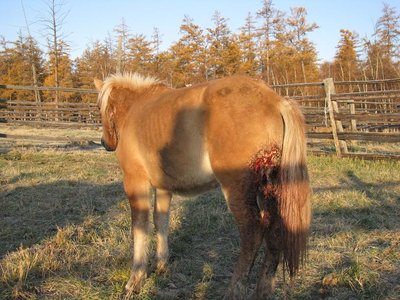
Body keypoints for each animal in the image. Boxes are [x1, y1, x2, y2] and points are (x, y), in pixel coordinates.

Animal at [94, 73, 312, 300]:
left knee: (252, 233)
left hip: (238, 189)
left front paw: (134, 281)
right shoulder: (164, 188)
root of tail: (275, 101)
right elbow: (161, 221)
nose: (106, 143)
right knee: (275, 232)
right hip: (269, 188)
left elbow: (140, 227)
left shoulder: (135, 181)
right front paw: (161, 265)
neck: (135, 109)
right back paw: (263, 291)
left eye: (100, 107)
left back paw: (233, 291)